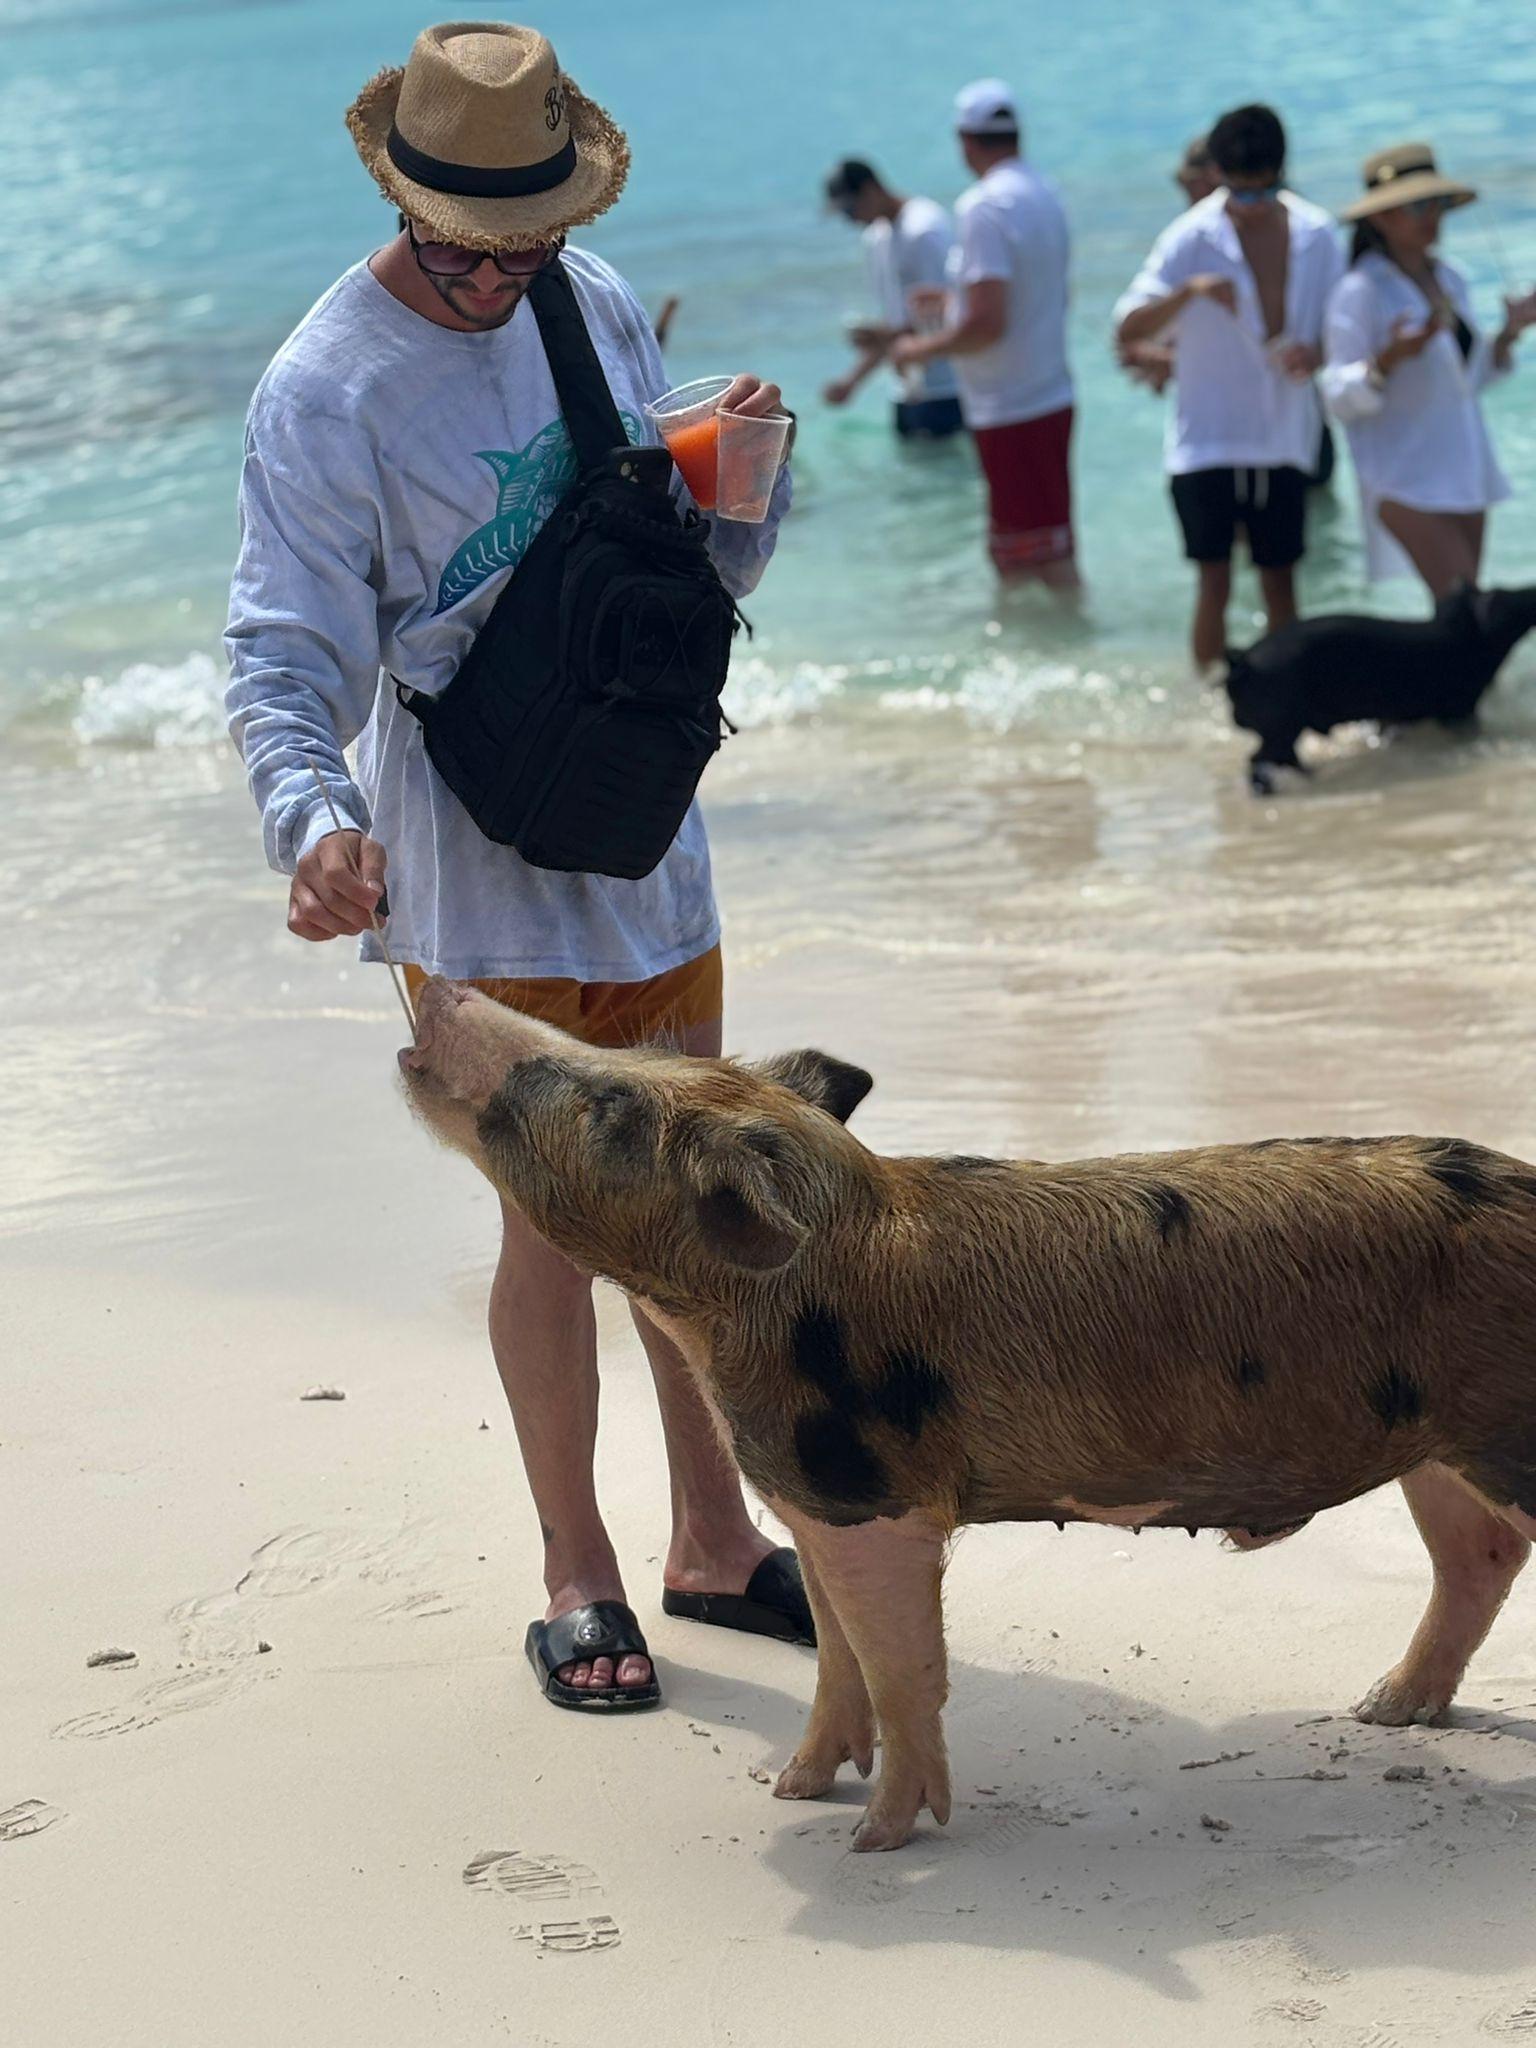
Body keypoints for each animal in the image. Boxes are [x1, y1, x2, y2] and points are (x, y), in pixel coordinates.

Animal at [400, 977, 1536, 1851]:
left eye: (607, 1104)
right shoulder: (815, 1502)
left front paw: (873, 1842)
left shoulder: (882, 1502)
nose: (444, 985)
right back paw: (1382, 1709)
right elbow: (837, 1662)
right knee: (1476, 1555)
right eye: (624, 1064)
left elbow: (901, 1668)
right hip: (1434, 1447)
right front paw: (796, 1787)